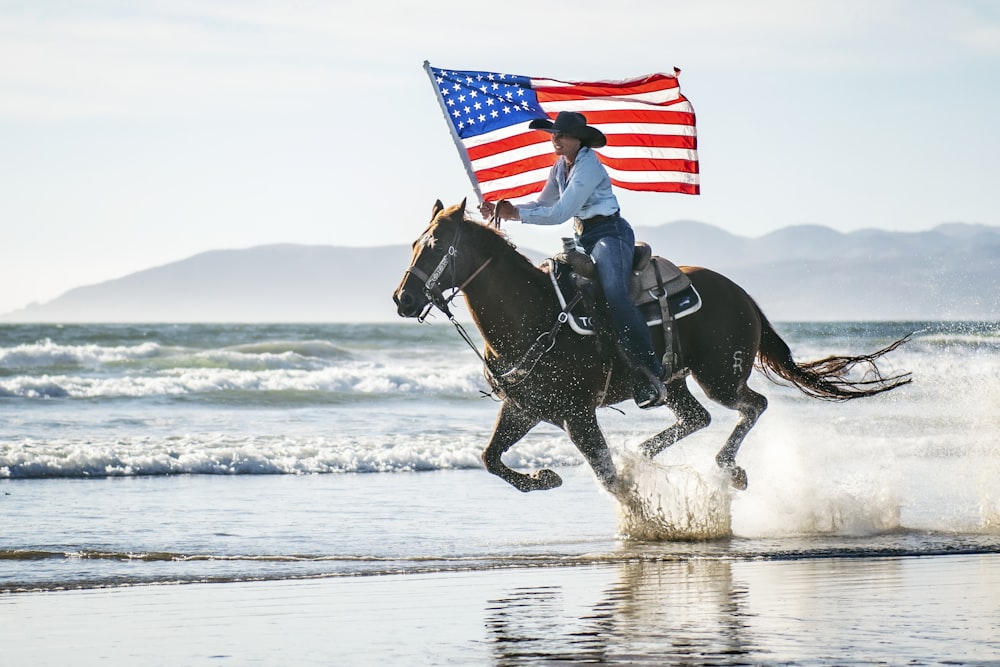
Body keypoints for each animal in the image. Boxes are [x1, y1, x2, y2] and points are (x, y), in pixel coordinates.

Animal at [392, 198, 916, 496]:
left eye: (435, 245)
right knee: (697, 417)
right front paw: (543, 478)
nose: (403, 298)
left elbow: (606, 475)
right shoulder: (525, 408)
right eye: (415, 242)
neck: (534, 315)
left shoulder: (577, 414)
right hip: (674, 380)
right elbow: (490, 457)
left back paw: (727, 468)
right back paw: (645, 453)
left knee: (752, 405)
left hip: (720, 376)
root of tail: (742, 295)